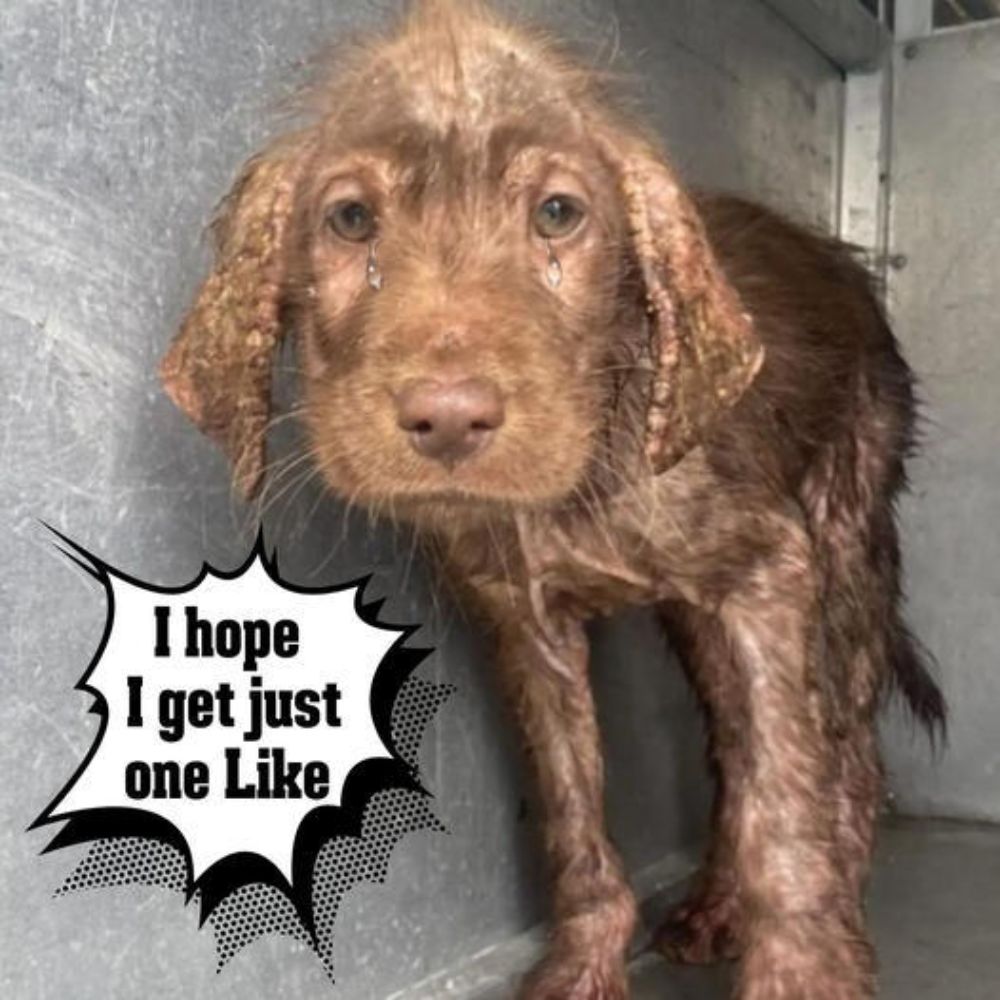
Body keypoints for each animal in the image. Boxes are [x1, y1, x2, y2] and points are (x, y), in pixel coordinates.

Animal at [158, 1, 944, 1000]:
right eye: (350, 218)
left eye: (559, 214)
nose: (450, 418)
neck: (583, 478)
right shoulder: (527, 621)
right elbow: (576, 823)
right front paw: (582, 966)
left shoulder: (769, 569)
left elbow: (788, 801)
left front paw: (807, 971)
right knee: (734, 742)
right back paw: (713, 905)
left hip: (844, 539)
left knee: (843, 751)